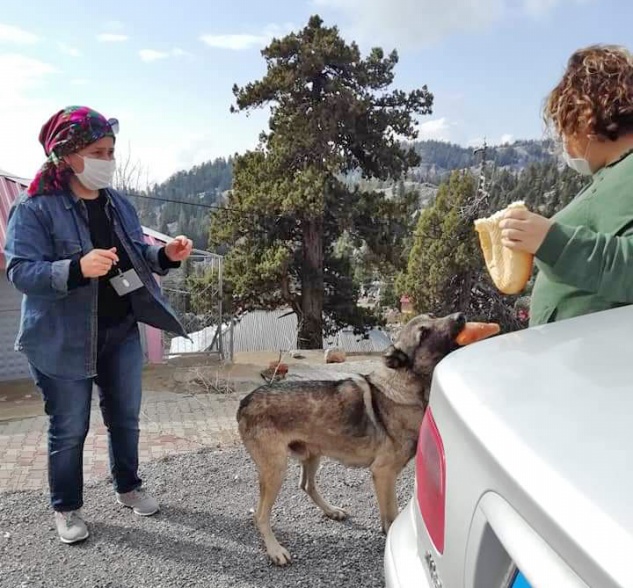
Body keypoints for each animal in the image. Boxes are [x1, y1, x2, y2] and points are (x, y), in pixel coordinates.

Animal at [236, 312, 464, 564]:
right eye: (424, 333)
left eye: (432, 317)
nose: (461, 317)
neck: (406, 385)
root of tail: (245, 401)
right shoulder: (383, 473)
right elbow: (391, 516)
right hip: (276, 469)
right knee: (260, 515)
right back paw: (275, 550)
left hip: (312, 455)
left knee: (306, 485)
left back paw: (331, 511)